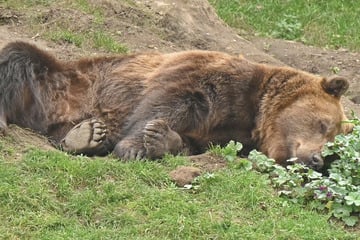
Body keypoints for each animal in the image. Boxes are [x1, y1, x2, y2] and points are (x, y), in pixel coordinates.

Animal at [0, 41, 352, 170]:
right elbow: (167, 100)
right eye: (323, 125)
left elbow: (193, 142)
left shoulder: (230, 133)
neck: (257, 114)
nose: (317, 159)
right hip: (63, 81)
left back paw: (85, 135)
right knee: (18, 55)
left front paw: (162, 140)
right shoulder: (211, 77)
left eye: (333, 145)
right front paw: (133, 146)